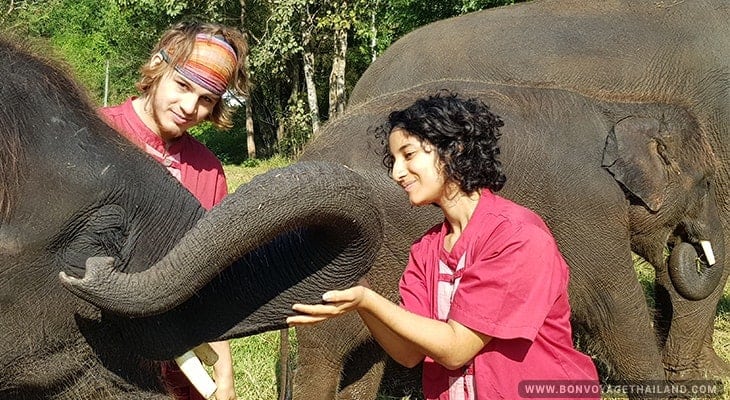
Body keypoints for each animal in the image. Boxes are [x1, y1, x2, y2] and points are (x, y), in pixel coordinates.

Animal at [55, 0, 724, 398]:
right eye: (708, 183)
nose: (693, 240)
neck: (620, 108)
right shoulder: (588, 210)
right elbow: (615, 309)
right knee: (325, 358)